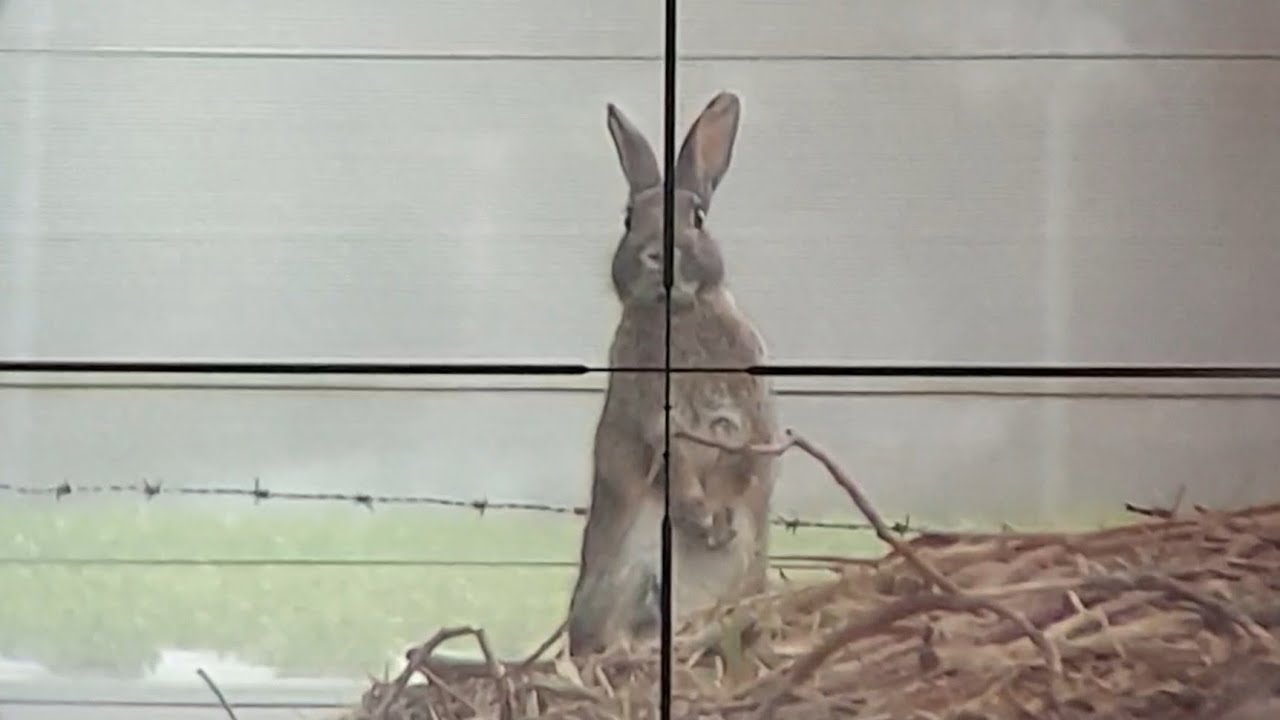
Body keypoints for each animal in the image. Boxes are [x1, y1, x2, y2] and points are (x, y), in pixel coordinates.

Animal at [566, 91, 781, 657]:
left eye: (698, 218)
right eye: (628, 220)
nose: (657, 254)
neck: (680, 313)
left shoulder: (746, 421)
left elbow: (740, 465)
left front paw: (717, 523)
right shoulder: (657, 420)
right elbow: (673, 464)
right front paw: (700, 517)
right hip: (624, 576)